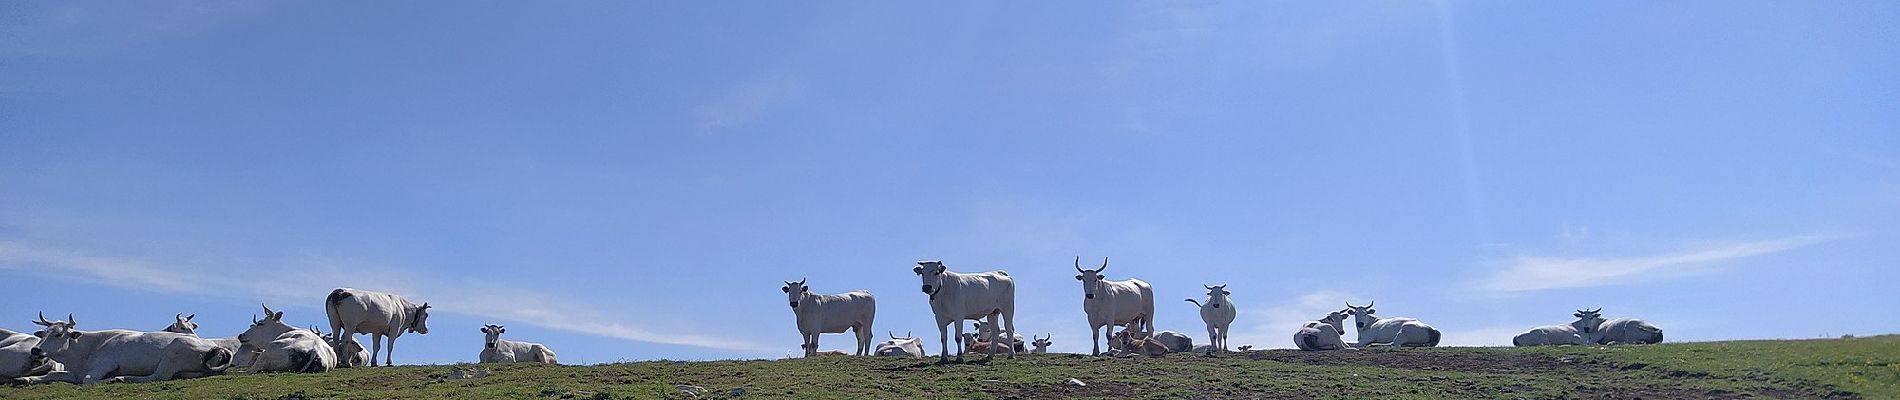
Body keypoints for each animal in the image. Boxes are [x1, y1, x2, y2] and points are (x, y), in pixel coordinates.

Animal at [20, 312, 235, 384]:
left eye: (58, 334)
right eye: (44, 334)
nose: (35, 351)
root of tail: (215, 346)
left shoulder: (104, 365)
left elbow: (88, 380)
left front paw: (111, 379)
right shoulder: (74, 372)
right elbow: (50, 375)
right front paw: (26, 379)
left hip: (173, 353)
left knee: (156, 377)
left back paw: (122, 378)